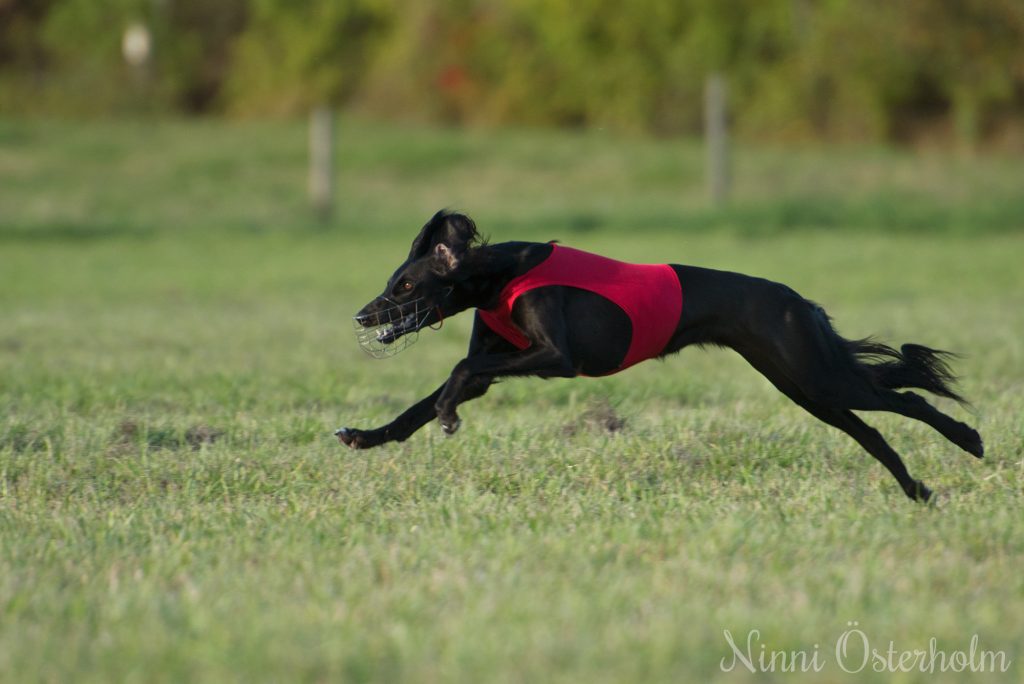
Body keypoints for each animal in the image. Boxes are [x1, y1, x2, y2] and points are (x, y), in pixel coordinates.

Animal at [337, 210, 983, 499]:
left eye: (406, 287)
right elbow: (418, 407)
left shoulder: (557, 356)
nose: (362, 317)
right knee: (871, 429)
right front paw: (365, 436)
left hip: (815, 376)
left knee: (904, 398)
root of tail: (798, 299)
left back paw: (969, 440)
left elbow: (458, 371)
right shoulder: (503, 362)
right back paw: (918, 490)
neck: (498, 275)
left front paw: (448, 415)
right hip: (801, 385)